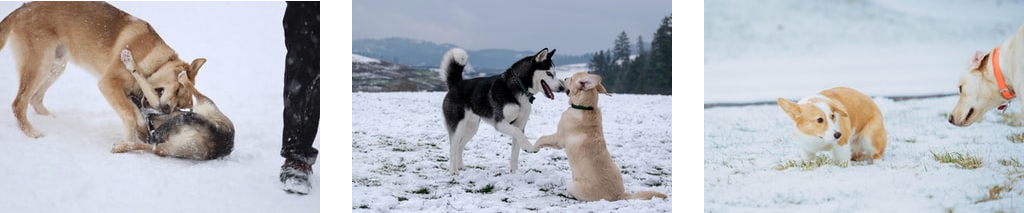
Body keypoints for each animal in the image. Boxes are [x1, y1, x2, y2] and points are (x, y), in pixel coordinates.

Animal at [0, 2, 205, 141]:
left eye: (179, 107)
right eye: (178, 89)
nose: (167, 109)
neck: (154, 60)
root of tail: (20, 10)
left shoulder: (126, 93)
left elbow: (133, 112)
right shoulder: (108, 83)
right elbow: (129, 114)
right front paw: (130, 140)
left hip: (56, 66)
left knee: (35, 99)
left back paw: (52, 119)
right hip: (40, 65)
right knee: (18, 103)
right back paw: (31, 132)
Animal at [532, 72, 667, 201]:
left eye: (571, 78)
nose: (564, 78)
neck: (585, 107)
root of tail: (620, 195)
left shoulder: (559, 138)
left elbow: (542, 138)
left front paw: (534, 147)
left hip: (573, 186)